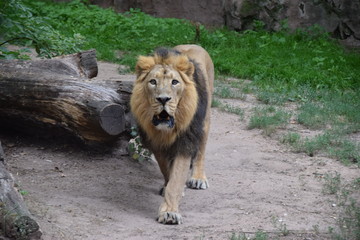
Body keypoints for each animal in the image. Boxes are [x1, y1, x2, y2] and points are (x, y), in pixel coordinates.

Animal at [130, 44, 212, 224]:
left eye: (175, 82)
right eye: (153, 82)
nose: (163, 99)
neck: (166, 131)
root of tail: (194, 44)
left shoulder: (185, 142)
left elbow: (176, 180)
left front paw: (169, 213)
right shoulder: (156, 143)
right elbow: (166, 169)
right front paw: (167, 187)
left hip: (204, 121)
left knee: (201, 150)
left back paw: (198, 178)